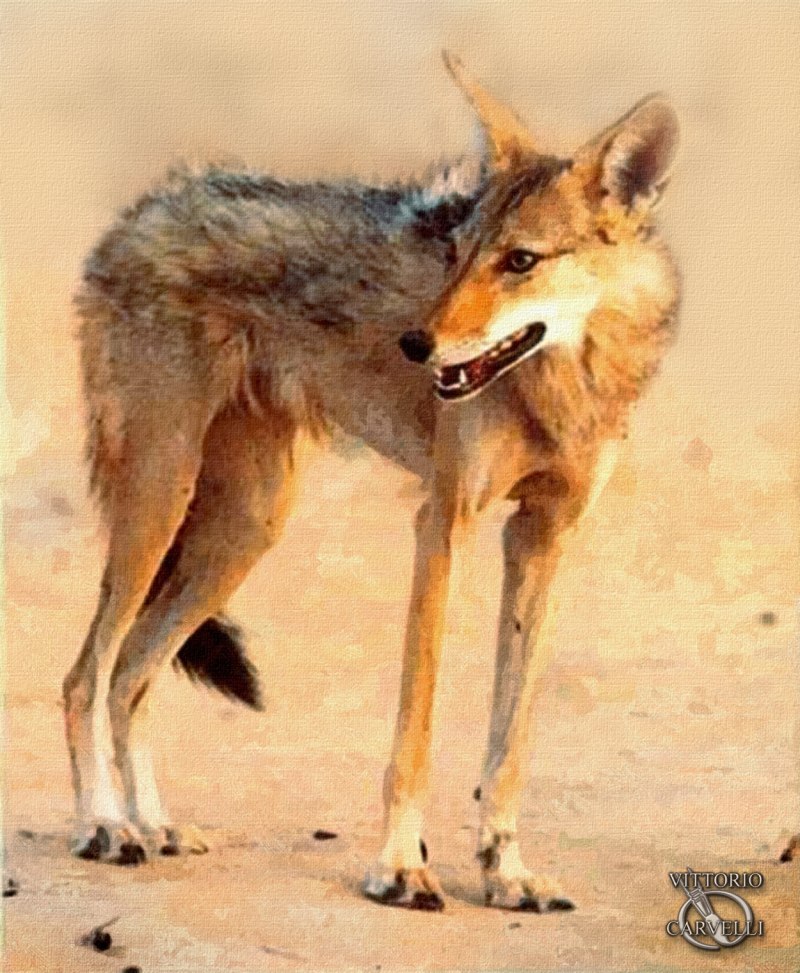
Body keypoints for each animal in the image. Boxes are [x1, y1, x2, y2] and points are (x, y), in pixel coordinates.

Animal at [63, 53, 681, 912]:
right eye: (457, 253)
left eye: (520, 260)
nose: (416, 344)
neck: (566, 385)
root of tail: (145, 205)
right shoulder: (445, 522)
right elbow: (416, 724)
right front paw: (400, 867)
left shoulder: (544, 540)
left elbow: (511, 737)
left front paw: (506, 870)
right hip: (161, 504)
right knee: (84, 676)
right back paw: (103, 826)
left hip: (242, 531)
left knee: (130, 675)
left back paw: (152, 826)